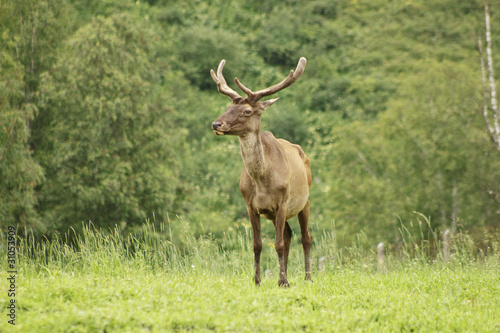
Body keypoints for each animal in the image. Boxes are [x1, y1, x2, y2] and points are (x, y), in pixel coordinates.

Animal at [211, 57, 312, 286]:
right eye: (227, 107)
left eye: (247, 111)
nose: (216, 123)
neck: (262, 181)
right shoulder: (251, 205)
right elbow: (258, 244)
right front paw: (257, 280)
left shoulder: (282, 202)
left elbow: (278, 243)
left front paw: (283, 282)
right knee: (288, 235)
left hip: (305, 200)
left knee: (305, 237)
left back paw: (308, 277)